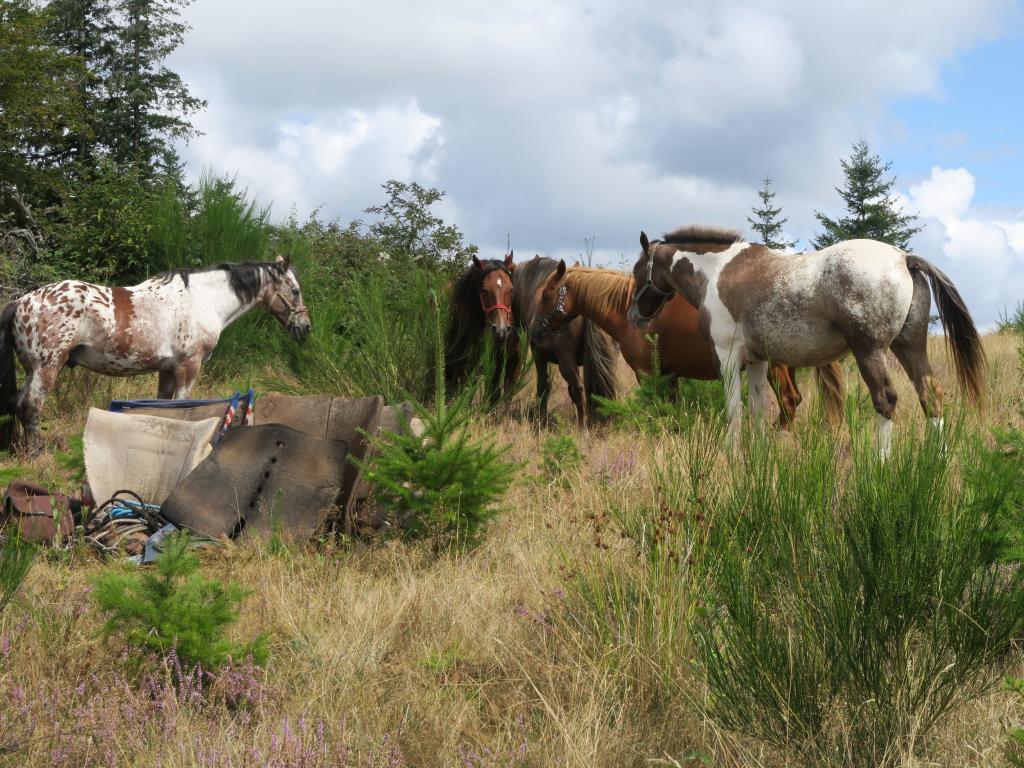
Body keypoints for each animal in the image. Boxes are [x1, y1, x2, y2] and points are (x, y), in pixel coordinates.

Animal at [512, 257, 614, 428]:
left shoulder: (539, 357)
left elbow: (543, 384)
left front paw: (540, 415)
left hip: (565, 360)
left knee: (578, 389)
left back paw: (582, 427)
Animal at [528, 264, 839, 434]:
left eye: (546, 294)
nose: (534, 331)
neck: (628, 309)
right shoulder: (669, 374)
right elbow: (671, 409)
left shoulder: (647, 374)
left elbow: (654, 408)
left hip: (776, 366)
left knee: (789, 400)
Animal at [626, 228, 987, 456]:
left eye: (637, 270)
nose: (633, 316)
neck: (718, 272)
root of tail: (904, 258)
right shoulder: (758, 361)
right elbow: (757, 409)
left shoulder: (727, 357)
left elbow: (734, 411)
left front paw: (732, 455)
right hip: (909, 348)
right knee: (931, 396)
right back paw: (935, 462)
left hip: (870, 352)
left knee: (886, 399)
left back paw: (880, 464)